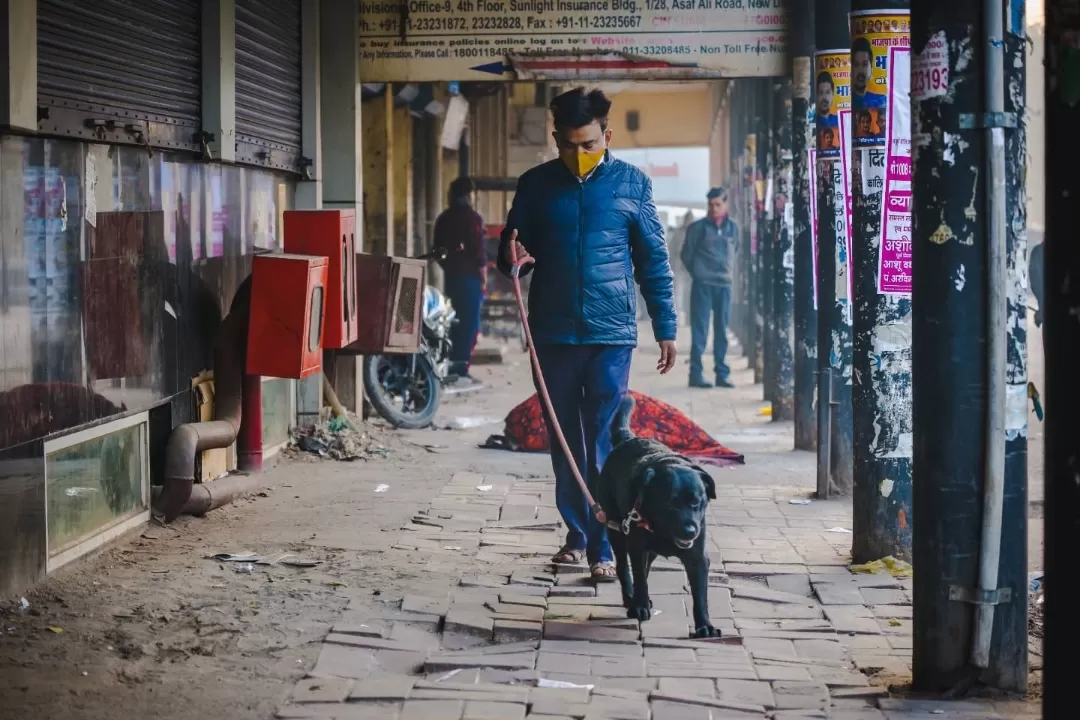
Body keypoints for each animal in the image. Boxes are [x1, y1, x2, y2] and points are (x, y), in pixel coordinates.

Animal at [600, 397, 717, 639]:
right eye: (670, 503)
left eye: (696, 502)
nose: (690, 531)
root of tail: (629, 438)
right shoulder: (636, 546)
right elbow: (639, 578)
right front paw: (640, 606)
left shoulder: (697, 556)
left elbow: (700, 595)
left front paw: (704, 625)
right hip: (616, 530)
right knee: (625, 567)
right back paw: (631, 599)